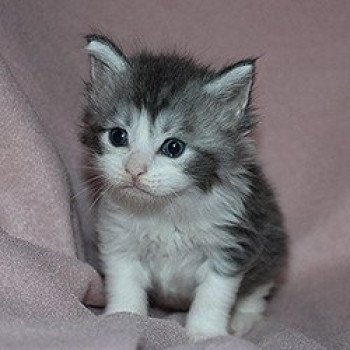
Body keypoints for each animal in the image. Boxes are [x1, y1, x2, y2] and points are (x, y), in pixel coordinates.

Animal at [81, 34, 288, 340]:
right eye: (118, 136)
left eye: (174, 147)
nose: (134, 170)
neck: (165, 208)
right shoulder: (119, 242)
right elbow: (124, 285)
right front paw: (125, 318)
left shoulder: (230, 244)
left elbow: (212, 296)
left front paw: (205, 334)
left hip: (271, 241)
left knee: (258, 288)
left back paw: (242, 318)